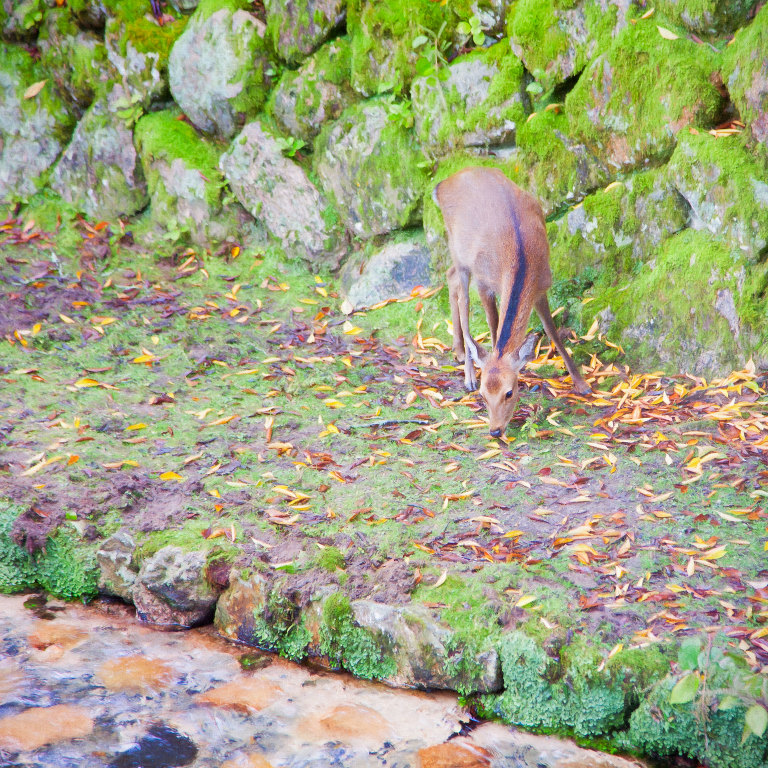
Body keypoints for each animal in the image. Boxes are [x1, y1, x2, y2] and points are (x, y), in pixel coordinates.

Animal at [432, 166, 591, 437]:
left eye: (509, 392)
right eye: (484, 395)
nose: (495, 431)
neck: (520, 258)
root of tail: (441, 185)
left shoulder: (542, 286)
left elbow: (552, 331)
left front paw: (582, 384)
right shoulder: (485, 283)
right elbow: (495, 328)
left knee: (450, 278)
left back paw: (460, 351)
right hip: (457, 248)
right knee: (461, 294)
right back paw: (468, 374)